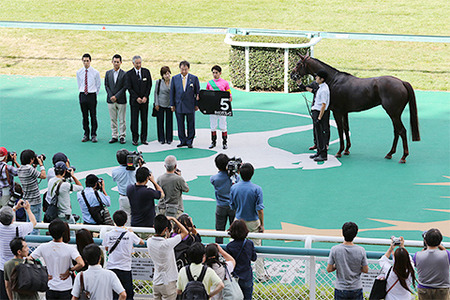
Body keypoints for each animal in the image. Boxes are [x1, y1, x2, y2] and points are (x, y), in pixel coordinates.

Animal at [290, 55, 420, 164]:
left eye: (298, 64)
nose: (292, 75)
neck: (333, 80)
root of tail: (402, 82)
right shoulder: (345, 112)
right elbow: (346, 129)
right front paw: (347, 150)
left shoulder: (337, 112)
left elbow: (340, 130)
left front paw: (339, 152)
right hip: (394, 115)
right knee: (396, 131)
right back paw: (390, 153)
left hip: (393, 114)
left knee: (402, 131)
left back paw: (403, 157)